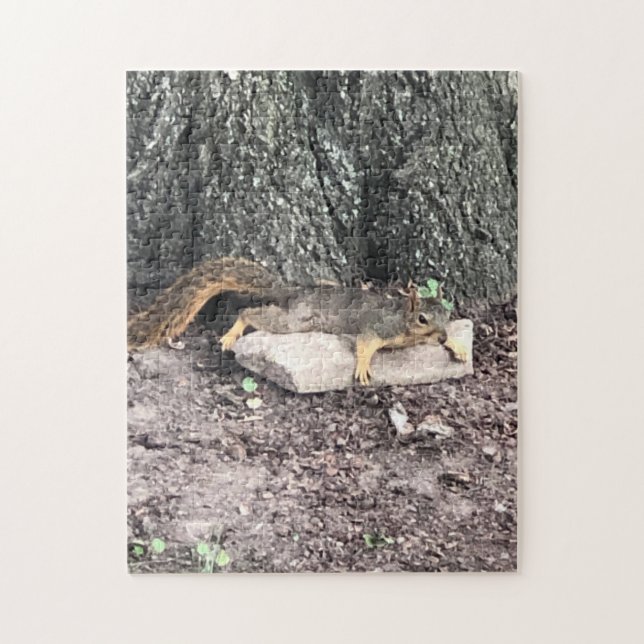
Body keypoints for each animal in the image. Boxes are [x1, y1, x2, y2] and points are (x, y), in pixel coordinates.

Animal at [127, 257, 468, 385]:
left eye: (446, 314)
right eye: (422, 318)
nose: (439, 337)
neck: (405, 322)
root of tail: (294, 291)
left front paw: (458, 346)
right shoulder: (379, 326)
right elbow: (364, 343)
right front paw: (362, 366)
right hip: (295, 321)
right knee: (249, 313)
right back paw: (231, 334)